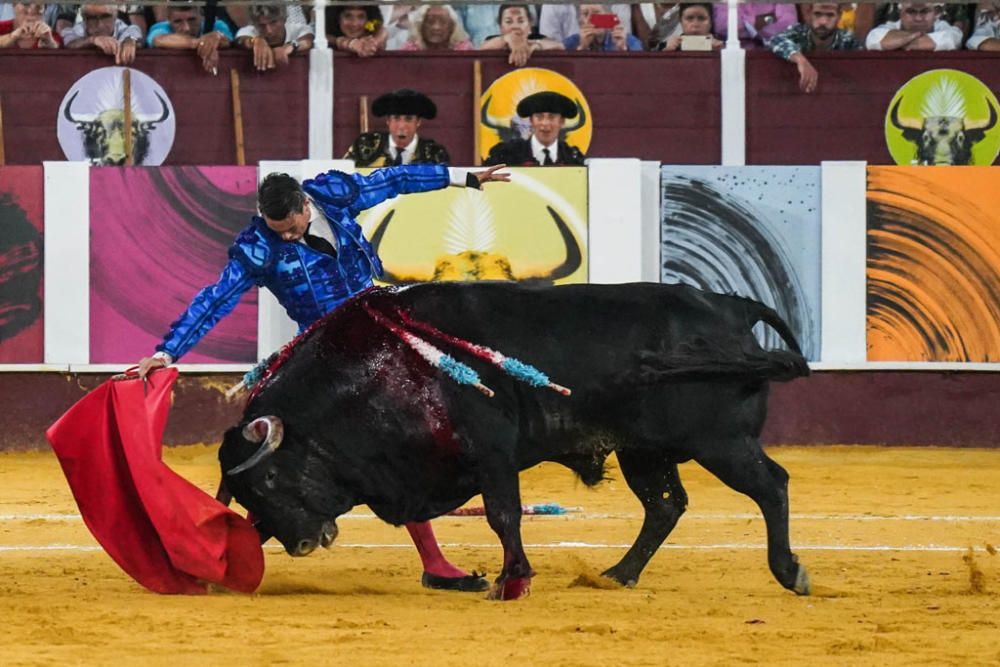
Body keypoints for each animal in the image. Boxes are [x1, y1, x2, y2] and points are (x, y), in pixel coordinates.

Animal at [219, 282, 812, 600]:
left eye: (268, 479)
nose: (301, 543)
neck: (384, 373)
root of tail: (732, 308)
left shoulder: (493, 454)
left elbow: (503, 515)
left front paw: (511, 583)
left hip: (721, 442)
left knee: (771, 486)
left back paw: (791, 573)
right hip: (641, 451)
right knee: (665, 505)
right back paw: (617, 575)